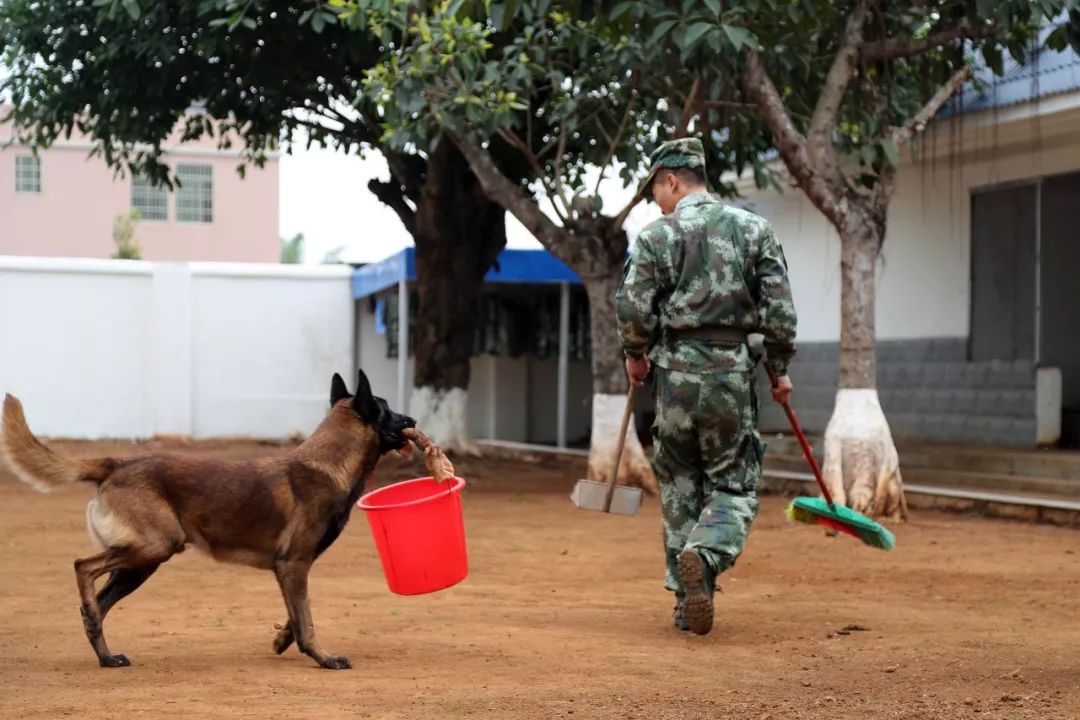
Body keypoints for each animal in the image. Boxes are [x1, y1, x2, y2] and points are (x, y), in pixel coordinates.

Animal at [0, 371, 414, 669]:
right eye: (388, 409)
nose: (412, 418)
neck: (327, 463)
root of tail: (116, 463)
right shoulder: (294, 564)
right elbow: (306, 619)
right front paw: (323, 657)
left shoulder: (287, 568)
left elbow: (294, 614)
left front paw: (283, 639)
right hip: (153, 548)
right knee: (83, 567)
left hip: (140, 564)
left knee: (98, 607)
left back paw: (105, 655)